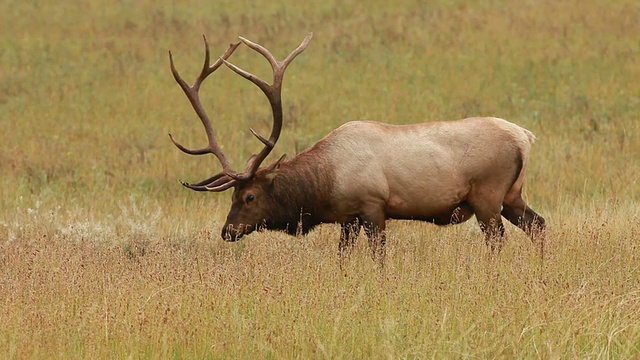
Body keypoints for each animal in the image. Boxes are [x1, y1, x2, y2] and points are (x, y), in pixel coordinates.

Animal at [169, 32, 544, 260]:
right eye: (232, 196)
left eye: (249, 196)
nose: (227, 231)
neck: (325, 182)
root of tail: (525, 136)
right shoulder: (347, 218)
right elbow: (343, 258)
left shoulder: (372, 206)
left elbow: (379, 257)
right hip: (512, 195)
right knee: (538, 225)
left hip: (487, 195)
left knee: (498, 240)